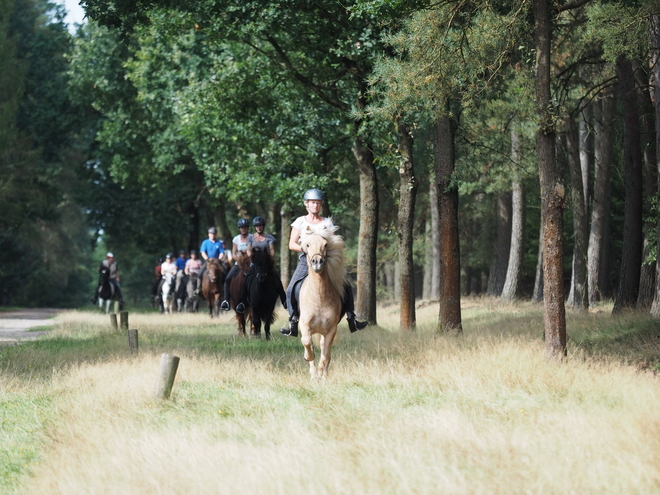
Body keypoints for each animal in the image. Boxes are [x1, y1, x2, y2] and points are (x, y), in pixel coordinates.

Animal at [298, 223, 346, 378]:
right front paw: (308, 358)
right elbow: (307, 343)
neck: (318, 297)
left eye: (325, 245)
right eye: (307, 245)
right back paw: (313, 374)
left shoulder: (331, 330)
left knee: (326, 352)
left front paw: (322, 374)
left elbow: (325, 355)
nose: (317, 262)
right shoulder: (304, 325)